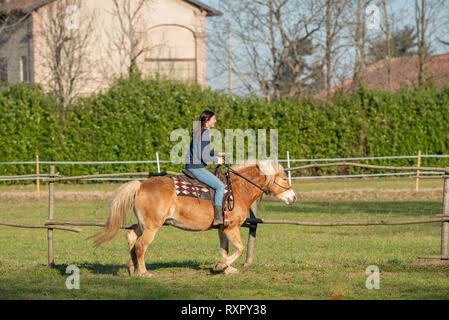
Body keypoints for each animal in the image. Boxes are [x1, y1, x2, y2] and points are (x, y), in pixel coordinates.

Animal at [89, 160, 296, 278]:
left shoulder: (222, 229)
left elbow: (225, 249)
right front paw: (221, 266)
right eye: (285, 178)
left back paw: (131, 267)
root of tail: (140, 185)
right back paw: (143, 272)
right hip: (152, 227)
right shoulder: (231, 228)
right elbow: (239, 248)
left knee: (131, 237)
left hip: (143, 224)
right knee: (141, 246)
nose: (293, 198)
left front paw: (226, 269)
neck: (237, 189)